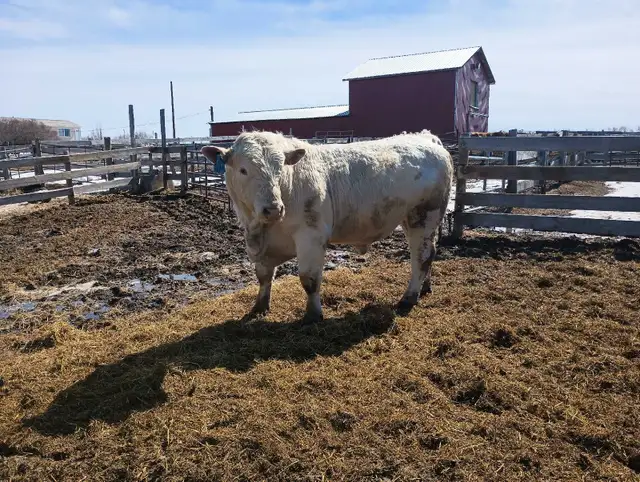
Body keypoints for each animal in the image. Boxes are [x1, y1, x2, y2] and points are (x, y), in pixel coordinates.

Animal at [201, 130, 453, 324]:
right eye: (243, 170)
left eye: (280, 168)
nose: (273, 209)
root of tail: (427, 138)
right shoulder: (260, 245)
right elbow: (263, 276)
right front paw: (259, 307)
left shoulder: (311, 236)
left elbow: (309, 279)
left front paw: (313, 315)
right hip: (415, 220)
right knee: (428, 253)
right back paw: (424, 288)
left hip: (424, 215)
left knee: (421, 256)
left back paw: (408, 297)